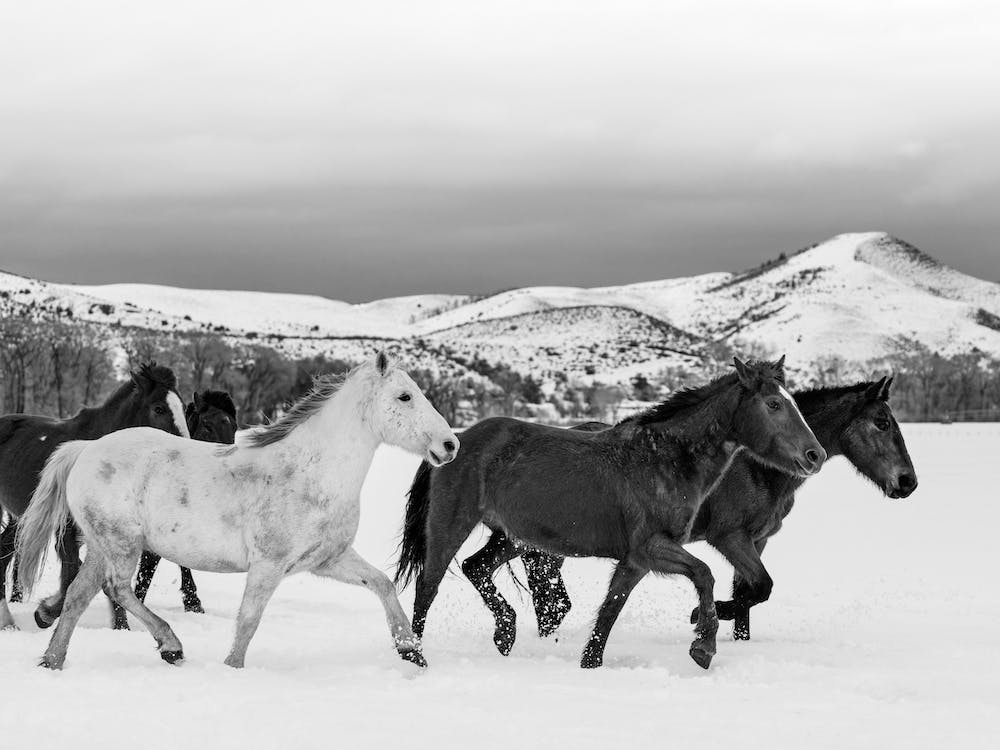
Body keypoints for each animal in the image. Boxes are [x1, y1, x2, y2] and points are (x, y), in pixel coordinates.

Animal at [0, 363, 189, 631]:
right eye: (159, 408)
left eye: (183, 407)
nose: (184, 449)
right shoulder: (66, 530)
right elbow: (72, 574)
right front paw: (44, 614)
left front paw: (121, 628)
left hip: (21, 517)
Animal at [395, 357, 826, 670]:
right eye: (773, 404)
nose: (814, 455)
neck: (664, 459)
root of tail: (454, 441)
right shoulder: (652, 547)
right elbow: (704, 574)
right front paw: (703, 646)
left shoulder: (636, 560)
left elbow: (609, 612)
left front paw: (591, 664)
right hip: (451, 525)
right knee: (427, 588)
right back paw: (414, 655)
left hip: (511, 536)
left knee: (475, 568)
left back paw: (505, 633)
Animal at [505, 377, 918, 644]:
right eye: (882, 423)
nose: (908, 482)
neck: (759, 465)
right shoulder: (730, 537)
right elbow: (760, 588)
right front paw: (704, 616)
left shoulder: (757, 540)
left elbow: (750, 593)